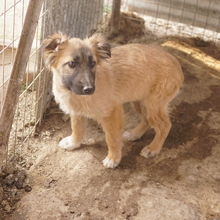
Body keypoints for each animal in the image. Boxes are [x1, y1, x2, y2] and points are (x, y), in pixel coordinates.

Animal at [43, 31, 184, 168]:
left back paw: (153, 148)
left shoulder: (112, 112)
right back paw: (135, 133)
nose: (89, 89)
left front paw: (113, 159)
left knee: (165, 125)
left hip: (152, 104)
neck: (72, 93)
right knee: (147, 120)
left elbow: (112, 139)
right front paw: (74, 142)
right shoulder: (77, 111)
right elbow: (77, 127)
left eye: (93, 64)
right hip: (140, 101)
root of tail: (175, 61)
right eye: (72, 64)